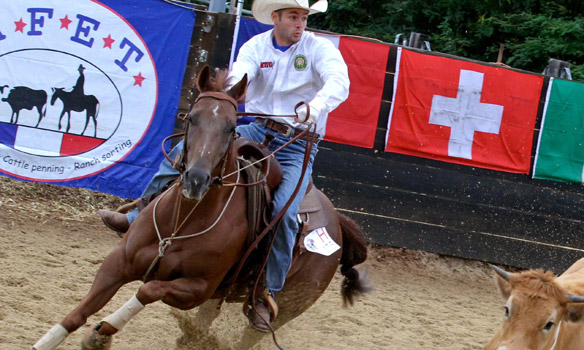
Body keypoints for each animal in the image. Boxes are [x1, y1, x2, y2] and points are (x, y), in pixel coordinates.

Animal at [30, 64, 364, 348]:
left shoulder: (196, 288)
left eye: (230, 127)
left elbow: (146, 290)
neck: (184, 221)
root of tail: (337, 221)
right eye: (191, 117)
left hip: (287, 306)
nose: (196, 180)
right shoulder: (118, 263)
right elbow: (77, 314)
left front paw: (103, 333)